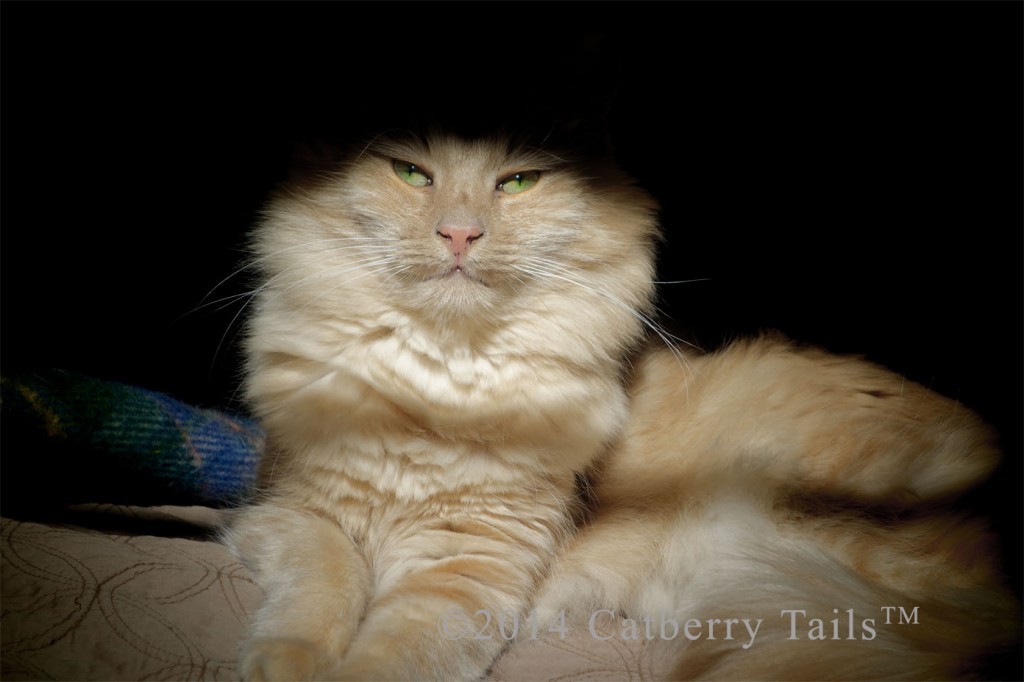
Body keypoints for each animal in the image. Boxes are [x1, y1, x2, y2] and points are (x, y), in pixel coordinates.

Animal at [222, 130, 1015, 675]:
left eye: (517, 181)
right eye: (412, 173)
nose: (460, 233)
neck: (444, 384)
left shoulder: (470, 569)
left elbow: (392, 650)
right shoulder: (293, 510)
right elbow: (322, 590)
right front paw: (286, 663)